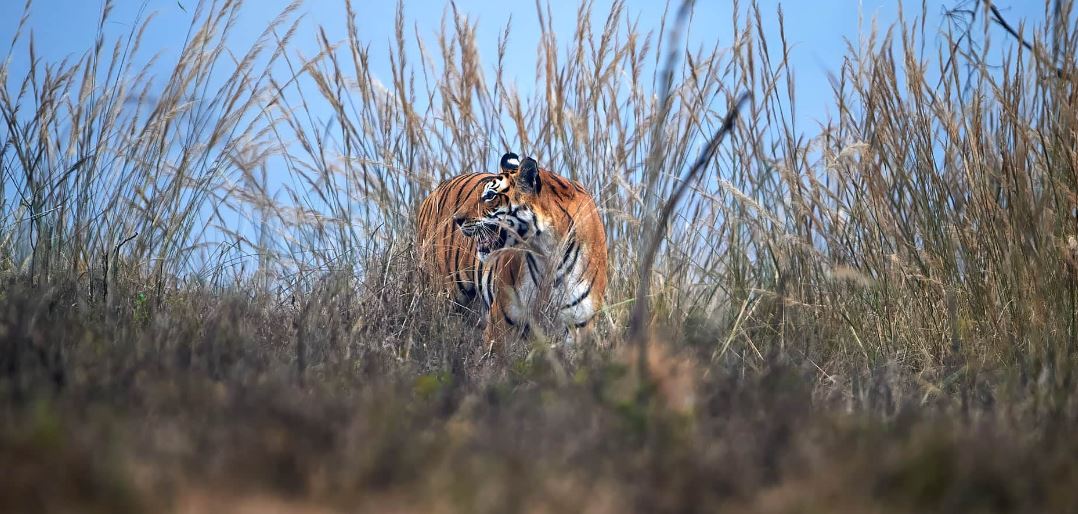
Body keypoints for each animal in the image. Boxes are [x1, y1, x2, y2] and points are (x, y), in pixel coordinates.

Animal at [416, 150, 612, 344]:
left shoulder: (579, 325)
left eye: (490, 195)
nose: (457, 219)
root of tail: (435, 191)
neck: (548, 253)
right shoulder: (503, 322)